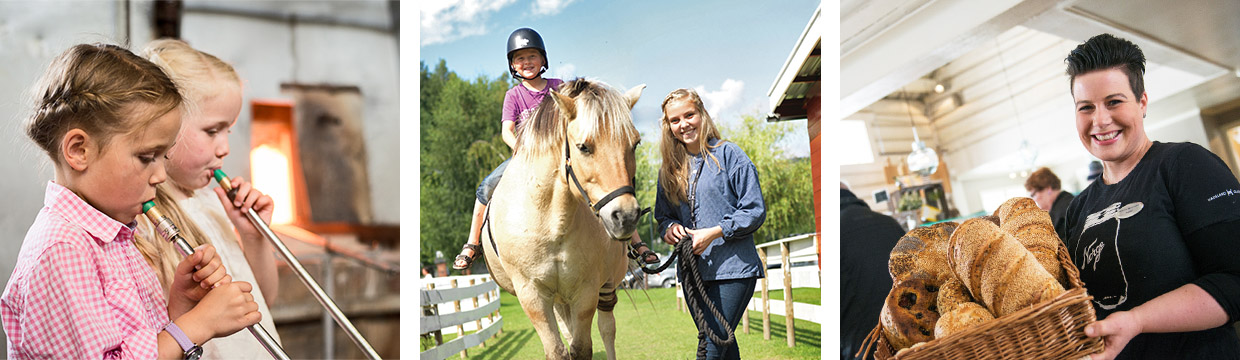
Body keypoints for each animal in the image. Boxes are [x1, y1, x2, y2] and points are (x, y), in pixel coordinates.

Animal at [478, 79, 644, 360]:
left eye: (635, 144)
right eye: (583, 147)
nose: (626, 216)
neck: (550, 225)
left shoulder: (586, 291)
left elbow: (582, 348)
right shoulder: (532, 295)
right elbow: (557, 350)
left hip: (606, 285)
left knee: (607, 328)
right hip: (558, 300)